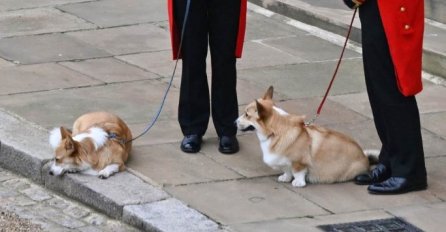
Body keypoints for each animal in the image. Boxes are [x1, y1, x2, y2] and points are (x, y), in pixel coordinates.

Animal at [237, 86, 376, 187]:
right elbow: (287, 170)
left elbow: (298, 172)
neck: (277, 131)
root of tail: (365, 158)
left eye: (247, 115)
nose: (235, 122)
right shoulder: (285, 162)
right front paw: (285, 178)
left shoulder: (299, 162)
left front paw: (298, 182)